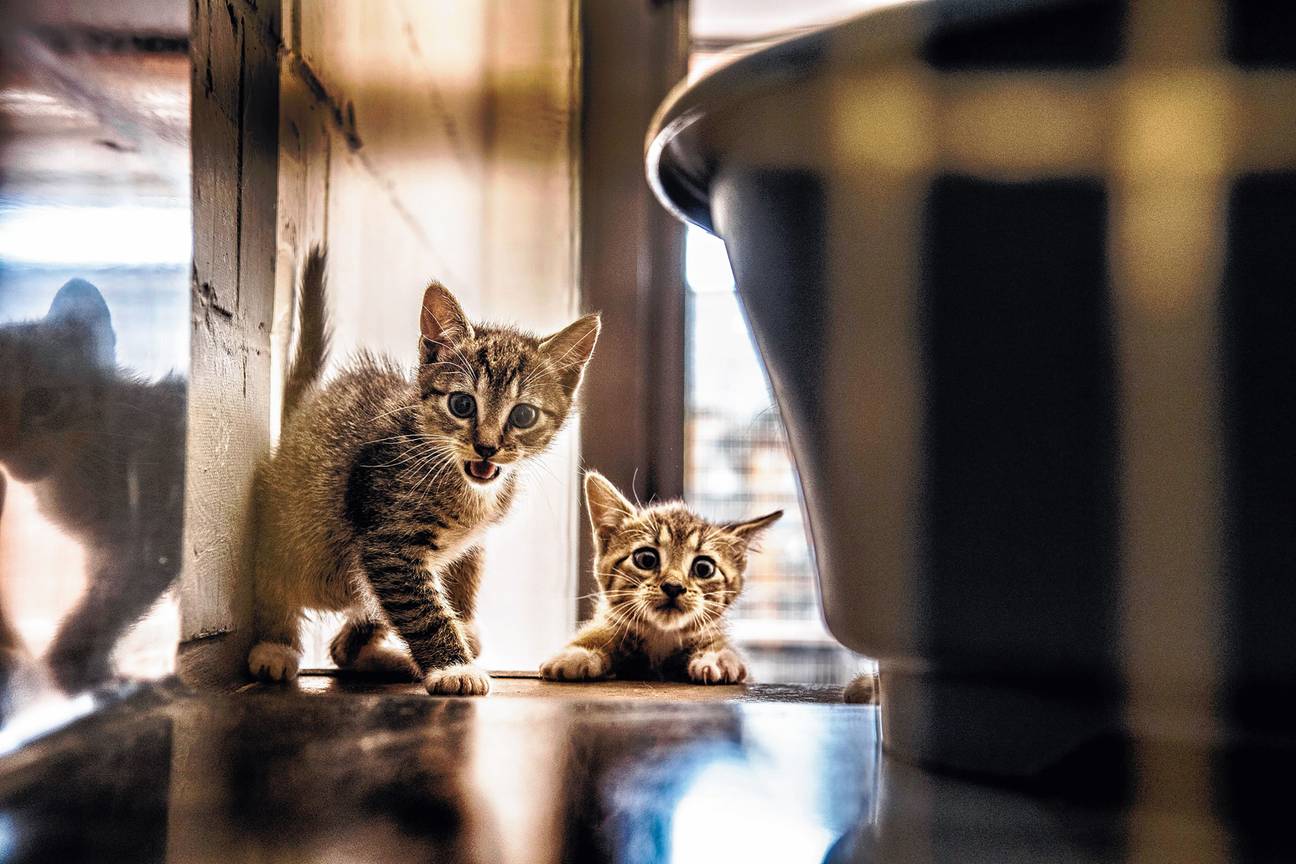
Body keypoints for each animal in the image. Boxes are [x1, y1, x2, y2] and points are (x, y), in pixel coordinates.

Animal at [0, 281, 187, 694]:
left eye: (43, 400)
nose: (8, 444)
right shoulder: (103, 552)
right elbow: (102, 599)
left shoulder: (156, 542)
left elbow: (110, 603)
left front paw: (69, 664)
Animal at [248, 248, 601, 694]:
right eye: (462, 405)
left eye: (523, 415)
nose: (487, 446)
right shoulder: (387, 541)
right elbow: (423, 608)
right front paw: (454, 667)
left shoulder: (466, 544)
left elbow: (453, 583)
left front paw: (461, 637)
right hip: (300, 536)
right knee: (276, 576)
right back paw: (274, 647)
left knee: (345, 642)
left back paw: (387, 659)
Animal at [539, 468, 777, 683]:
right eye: (646, 559)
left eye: (703, 568)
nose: (673, 586)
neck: (661, 637)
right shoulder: (611, 618)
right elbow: (603, 630)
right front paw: (581, 650)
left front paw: (717, 654)